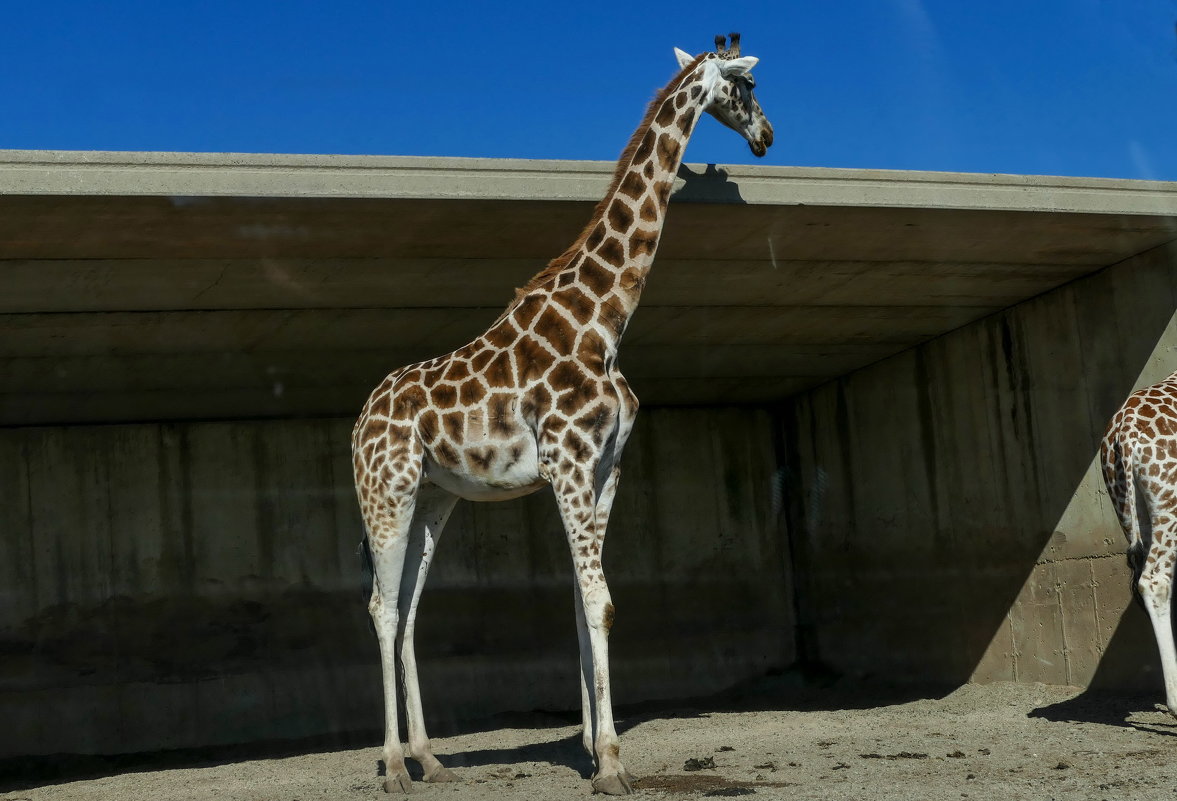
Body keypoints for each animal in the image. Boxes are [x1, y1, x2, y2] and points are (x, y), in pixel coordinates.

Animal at [348, 32, 772, 795]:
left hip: (432, 499)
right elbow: (599, 599)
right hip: (384, 492)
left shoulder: (605, 469)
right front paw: (609, 762)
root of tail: (358, 421)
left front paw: (593, 745)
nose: (766, 136)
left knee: (411, 611)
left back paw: (430, 756)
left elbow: (586, 600)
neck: (603, 320)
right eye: (749, 88)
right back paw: (394, 765)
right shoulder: (569, 463)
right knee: (381, 607)